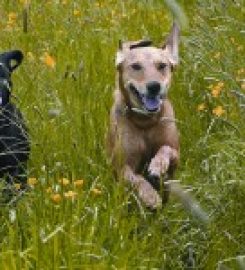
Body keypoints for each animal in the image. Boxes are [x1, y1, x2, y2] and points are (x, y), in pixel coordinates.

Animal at [107, 22, 180, 209]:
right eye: (136, 66)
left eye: (162, 65)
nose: (154, 86)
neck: (145, 121)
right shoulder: (122, 167)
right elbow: (136, 178)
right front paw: (150, 196)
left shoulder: (176, 155)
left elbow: (166, 149)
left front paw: (157, 165)